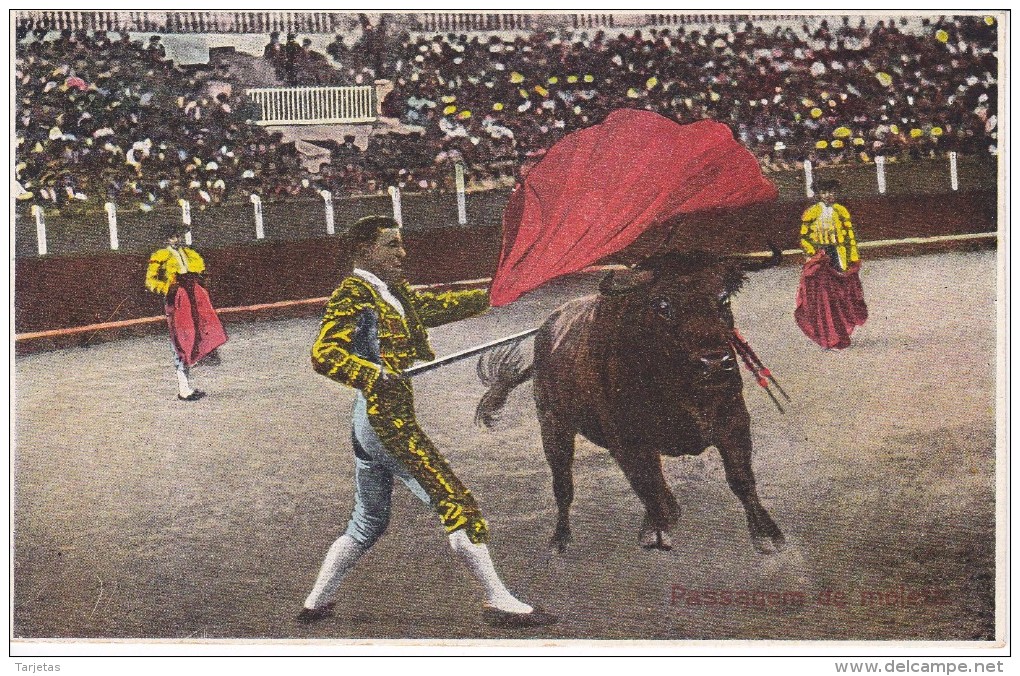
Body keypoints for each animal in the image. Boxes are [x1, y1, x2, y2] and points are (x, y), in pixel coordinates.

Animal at [477, 248, 787, 554]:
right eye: (662, 305)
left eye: (723, 299)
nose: (714, 363)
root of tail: (546, 334)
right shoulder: (628, 442)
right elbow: (650, 489)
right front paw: (656, 531)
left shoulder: (734, 423)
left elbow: (741, 479)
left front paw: (768, 535)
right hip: (553, 427)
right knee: (563, 484)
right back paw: (559, 540)